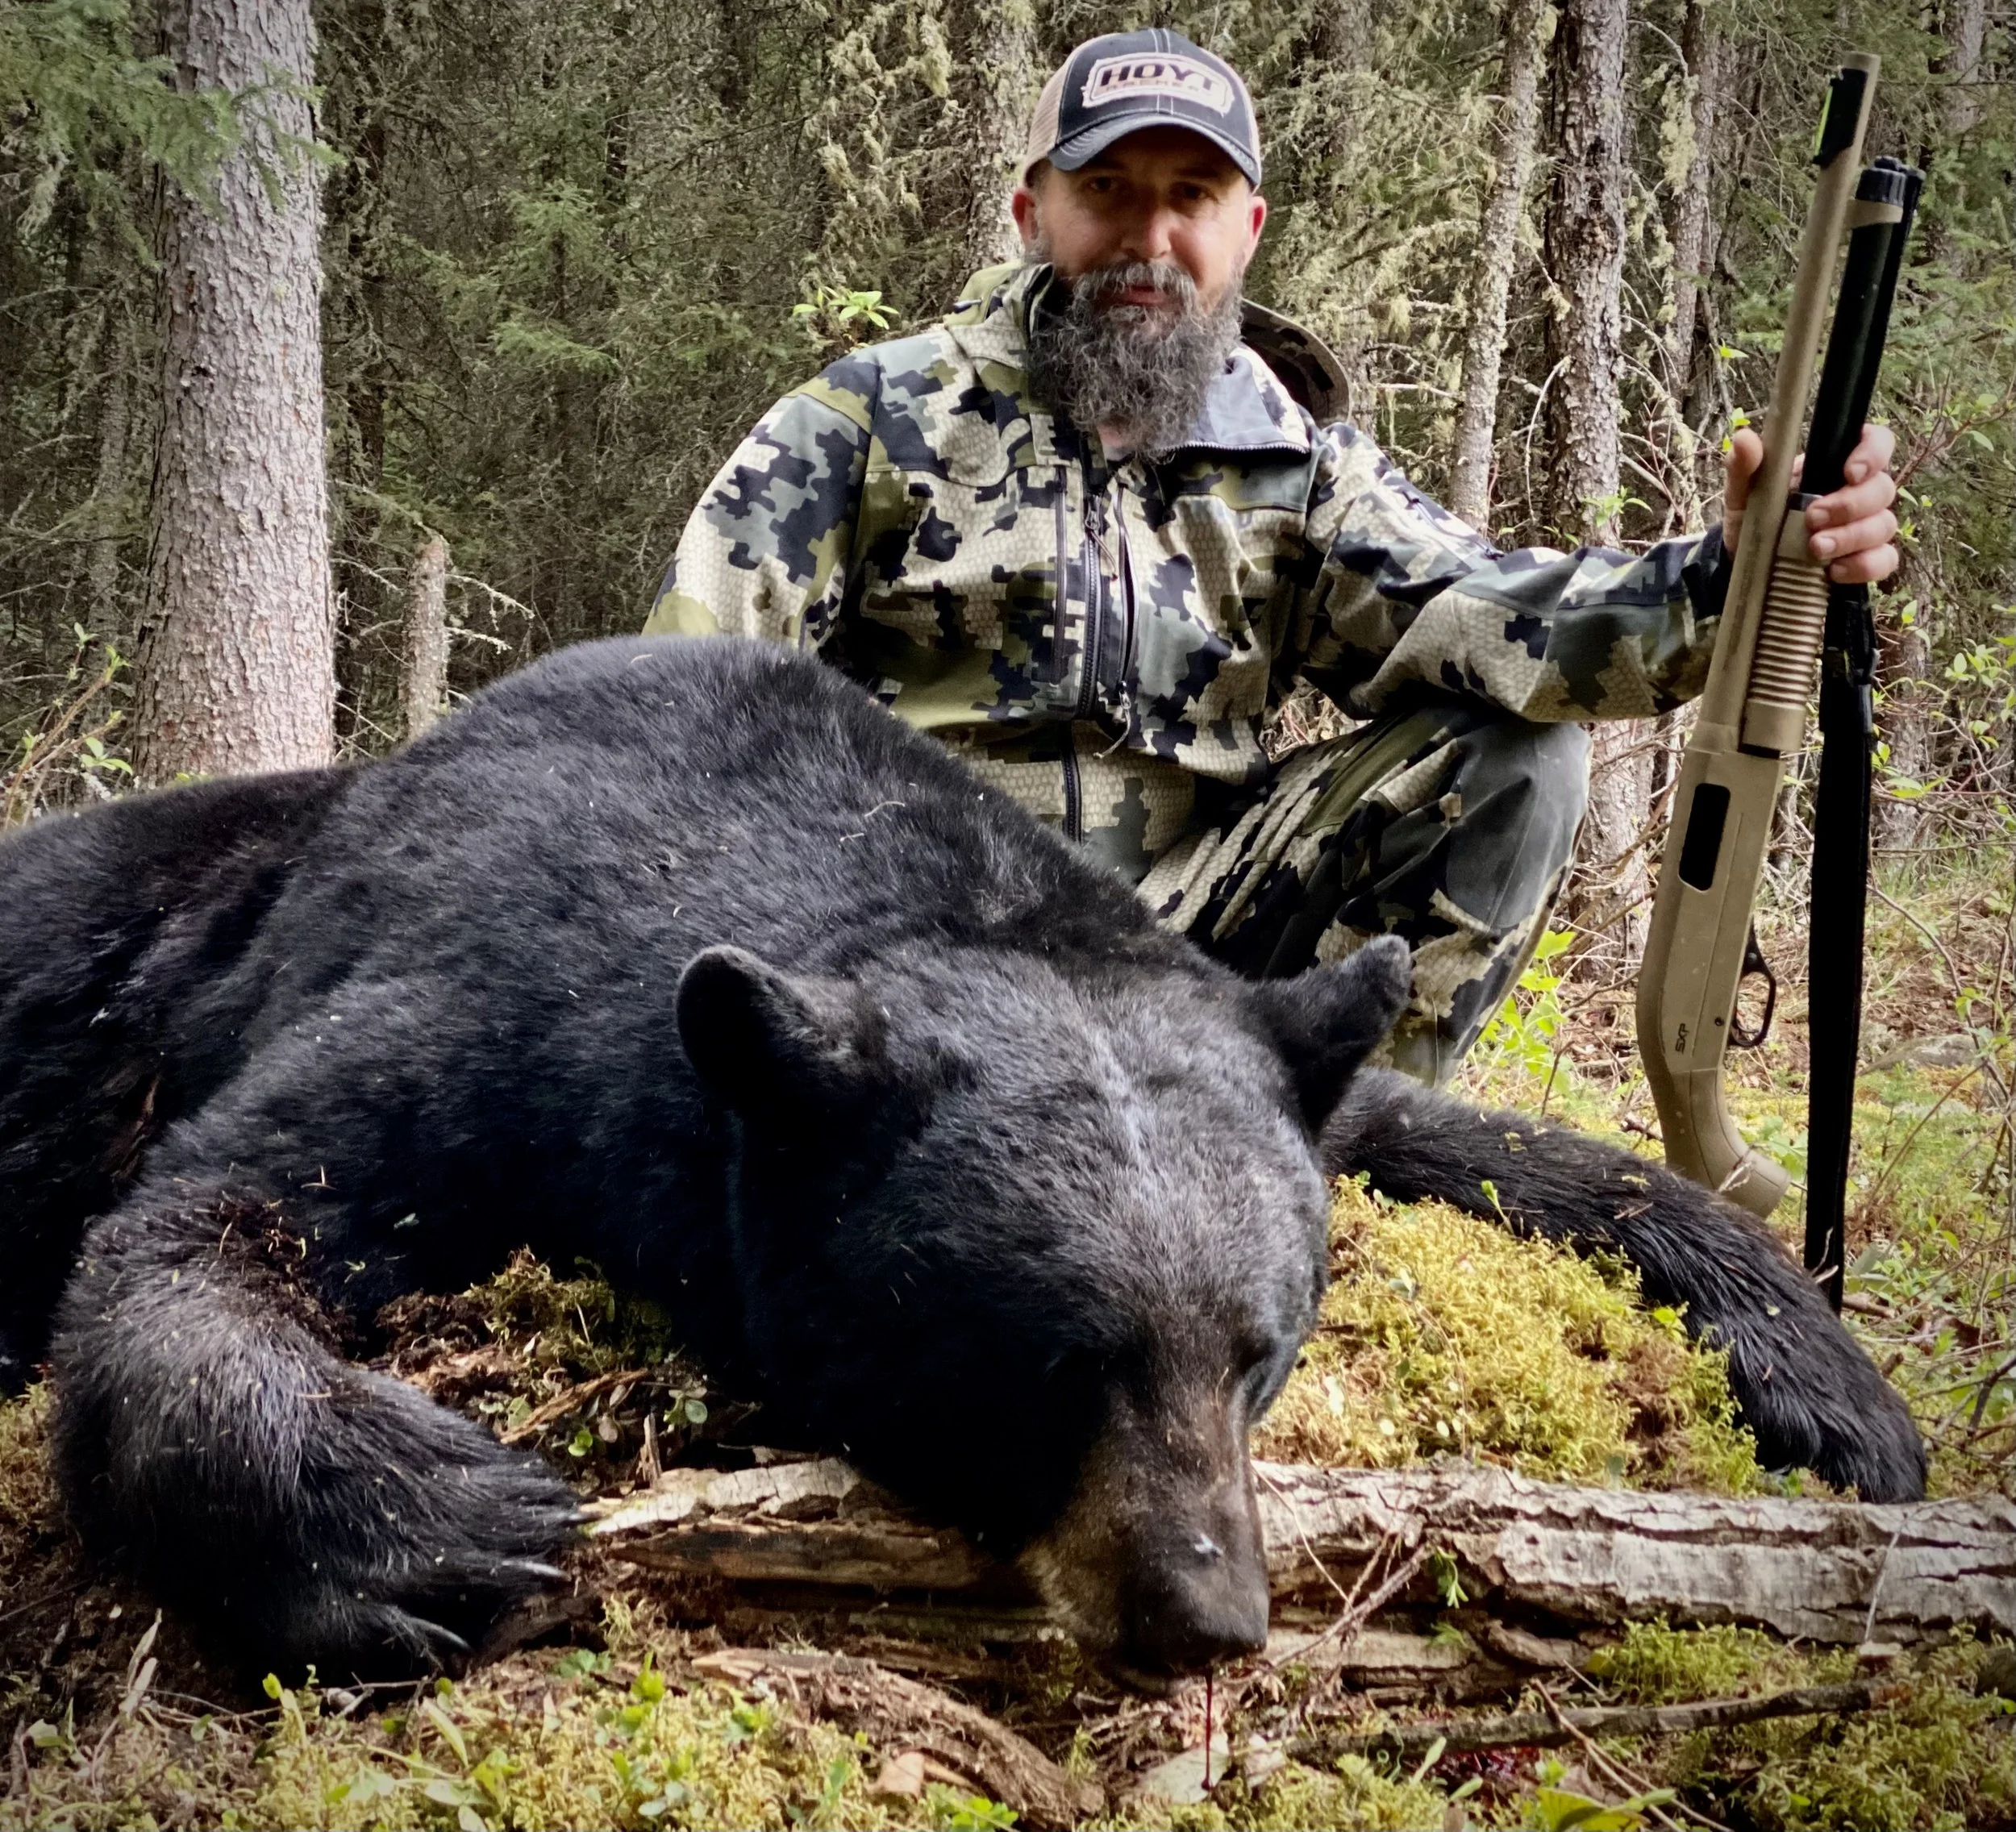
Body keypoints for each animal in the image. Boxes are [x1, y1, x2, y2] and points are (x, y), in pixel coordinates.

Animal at [0, 636, 1925, 1684]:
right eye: (1051, 1361)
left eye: (1261, 1351)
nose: (1207, 1612)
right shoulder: (468, 1009)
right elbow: (198, 1222)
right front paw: (432, 1522)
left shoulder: (1231, 1024)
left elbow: (1474, 1135)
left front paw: (1833, 1382)